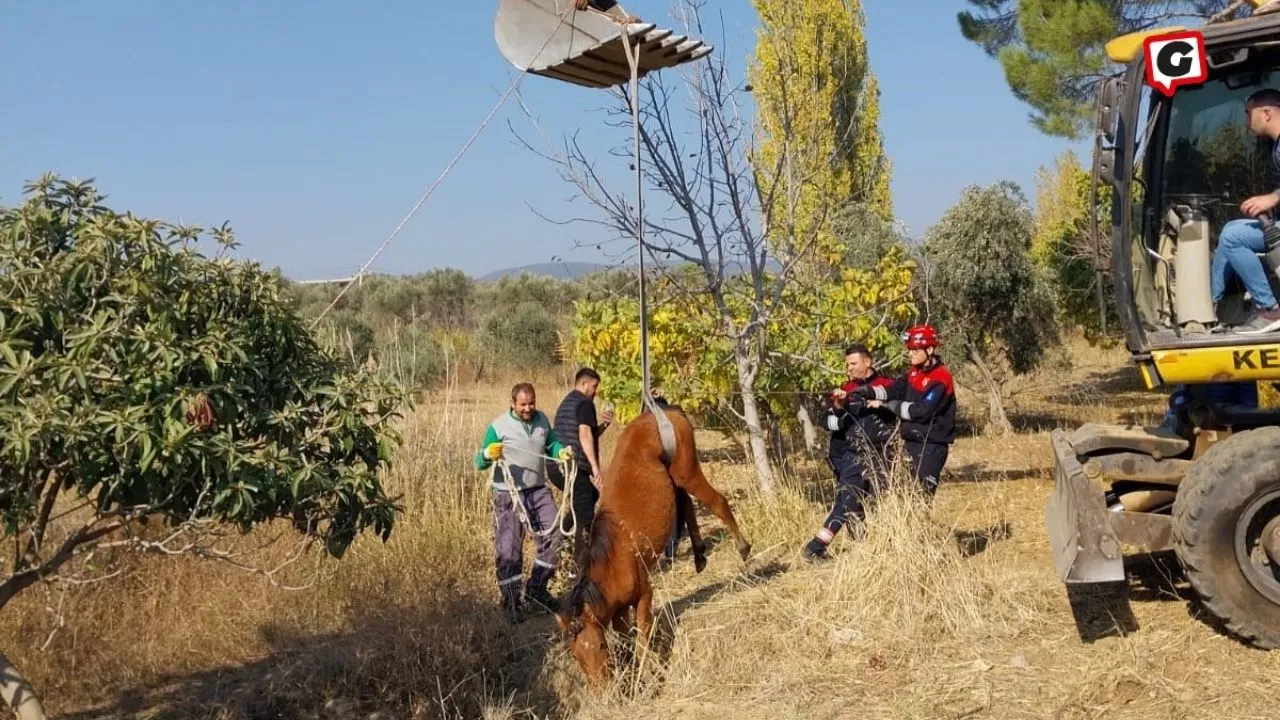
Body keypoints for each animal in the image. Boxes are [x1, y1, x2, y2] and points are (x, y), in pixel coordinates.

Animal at [552, 399, 747, 686]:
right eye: (577, 657)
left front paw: (647, 672)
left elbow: (643, 637)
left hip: (686, 469)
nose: (602, 689)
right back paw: (699, 554)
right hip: (674, 475)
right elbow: (626, 639)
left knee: (717, 502)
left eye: (600, 646)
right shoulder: (617, 612)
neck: (613, 561)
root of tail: (663, 410)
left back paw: (744, 548)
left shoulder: (644, 595)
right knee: (685, 503)